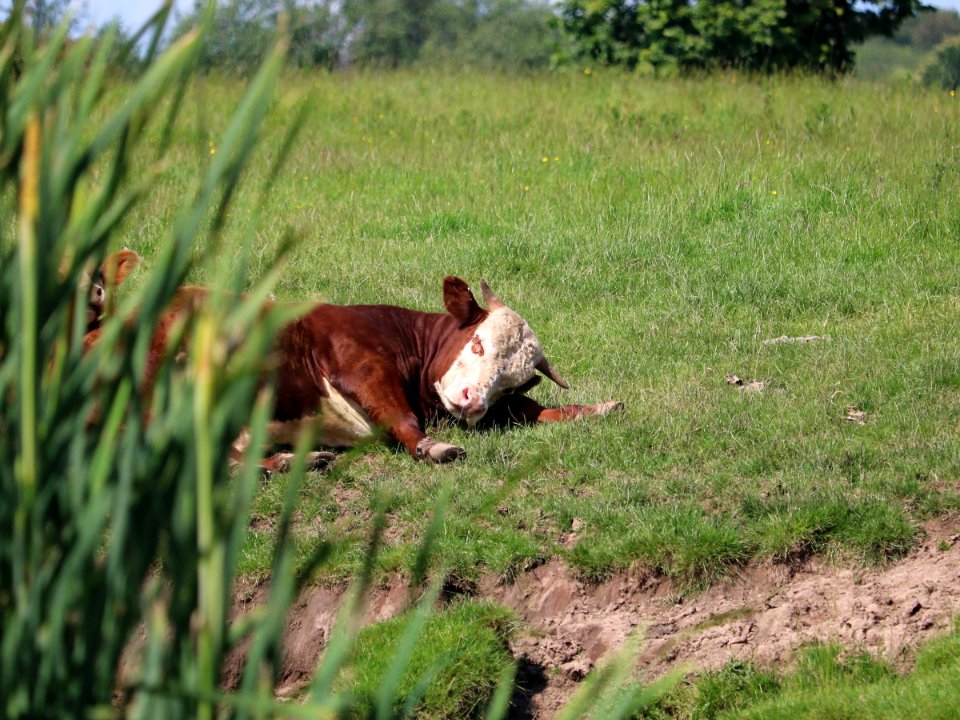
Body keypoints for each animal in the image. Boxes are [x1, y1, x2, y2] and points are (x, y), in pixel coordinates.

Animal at [88, 270, 624, 472]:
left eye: (509, 383)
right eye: (477, 342)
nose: (472, 402)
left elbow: (540, 411)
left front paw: (600, 407)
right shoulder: (359, 363)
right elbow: (403, 419)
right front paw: (435, 447)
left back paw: (293, 461)